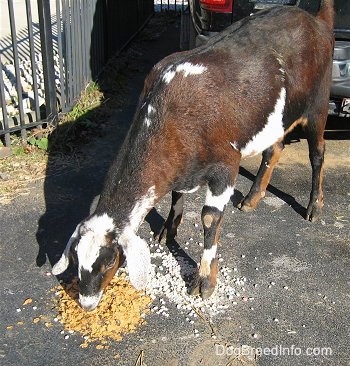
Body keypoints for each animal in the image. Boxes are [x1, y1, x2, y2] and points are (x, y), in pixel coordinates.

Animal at [51, 0, 334, 310]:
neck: (169, 113)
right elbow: (177, 194)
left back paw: (313, 206)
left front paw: (204, 281)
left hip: (318, 105)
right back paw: (251, 199)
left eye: (108, 261)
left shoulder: (226, 164)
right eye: (77, 261)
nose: (87, 303)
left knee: (317, 153)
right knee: (274, 148)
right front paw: (168, 229)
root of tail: (316, 21)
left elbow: (209, 218)